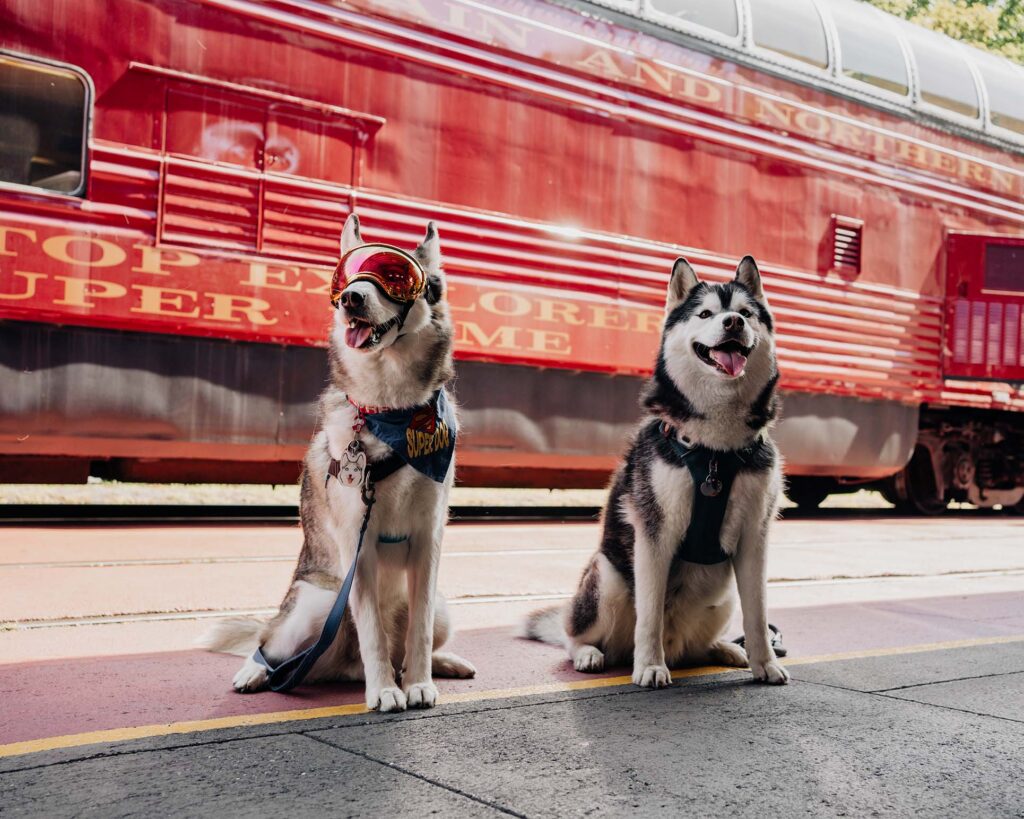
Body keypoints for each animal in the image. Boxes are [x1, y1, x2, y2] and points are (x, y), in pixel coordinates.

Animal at [201, 216, 477, 708]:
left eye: (395, 276)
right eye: (346, 278)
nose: (351, 298)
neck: (392, 412)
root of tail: (344, 667)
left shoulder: (430, 540)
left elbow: (421, 629)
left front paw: (419, 683)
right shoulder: (356, 542)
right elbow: (371, 632)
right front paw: (385, 691)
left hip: (444, 608)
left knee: (413, 638)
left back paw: (438, 665)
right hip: (318, 605)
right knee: (270, 644)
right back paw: (257, 671)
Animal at [524, 253, 786, 683]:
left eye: (746, 313)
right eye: (705, 313)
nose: (733, 322)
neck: (716, 450)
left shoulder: (754, 538)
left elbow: (759, 614)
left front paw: (765, 663)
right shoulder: (655, 535)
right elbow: (649, 614)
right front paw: (649, 666)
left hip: (723, 597)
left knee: (698, 647)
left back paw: (725, 648)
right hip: (607, 577)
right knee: (573, 634)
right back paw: (590, 654)